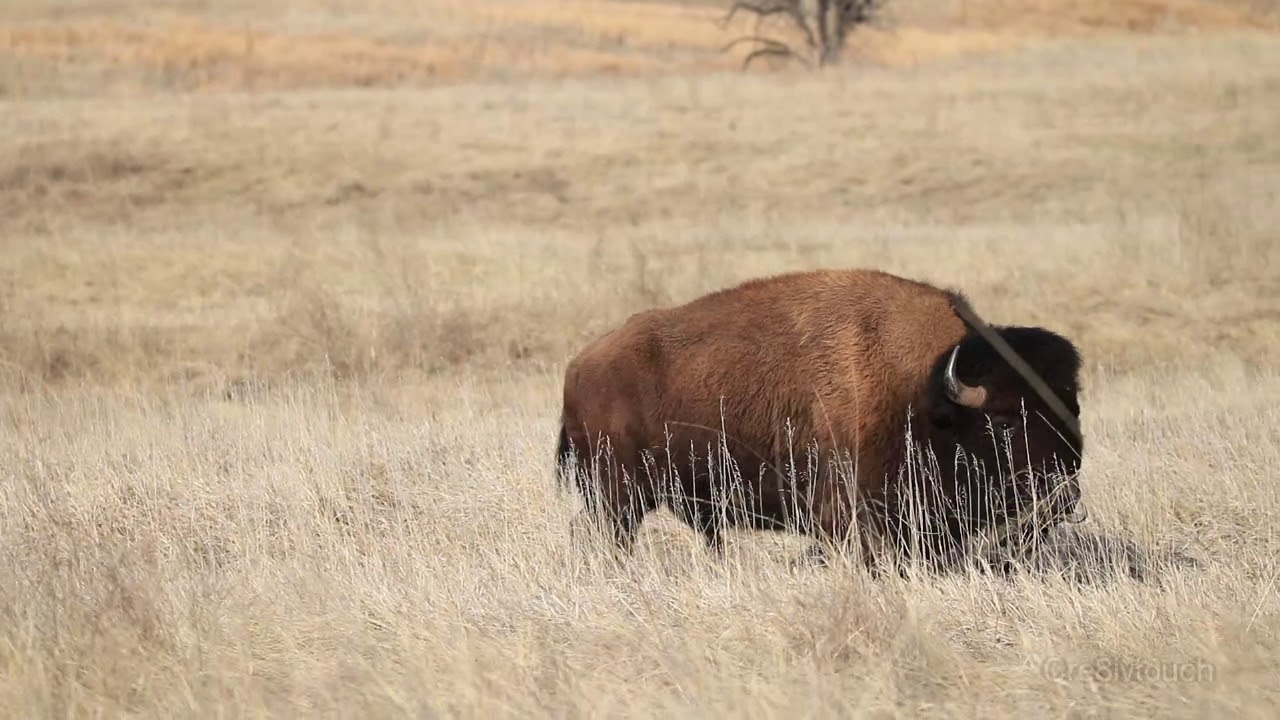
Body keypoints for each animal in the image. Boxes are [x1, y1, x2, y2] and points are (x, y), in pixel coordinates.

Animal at [554, 268, 1086, 573]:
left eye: (1073, 407)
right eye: (1005, 422)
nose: (1063, 492)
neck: (924, 390)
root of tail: (579, 366)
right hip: (617, 494)